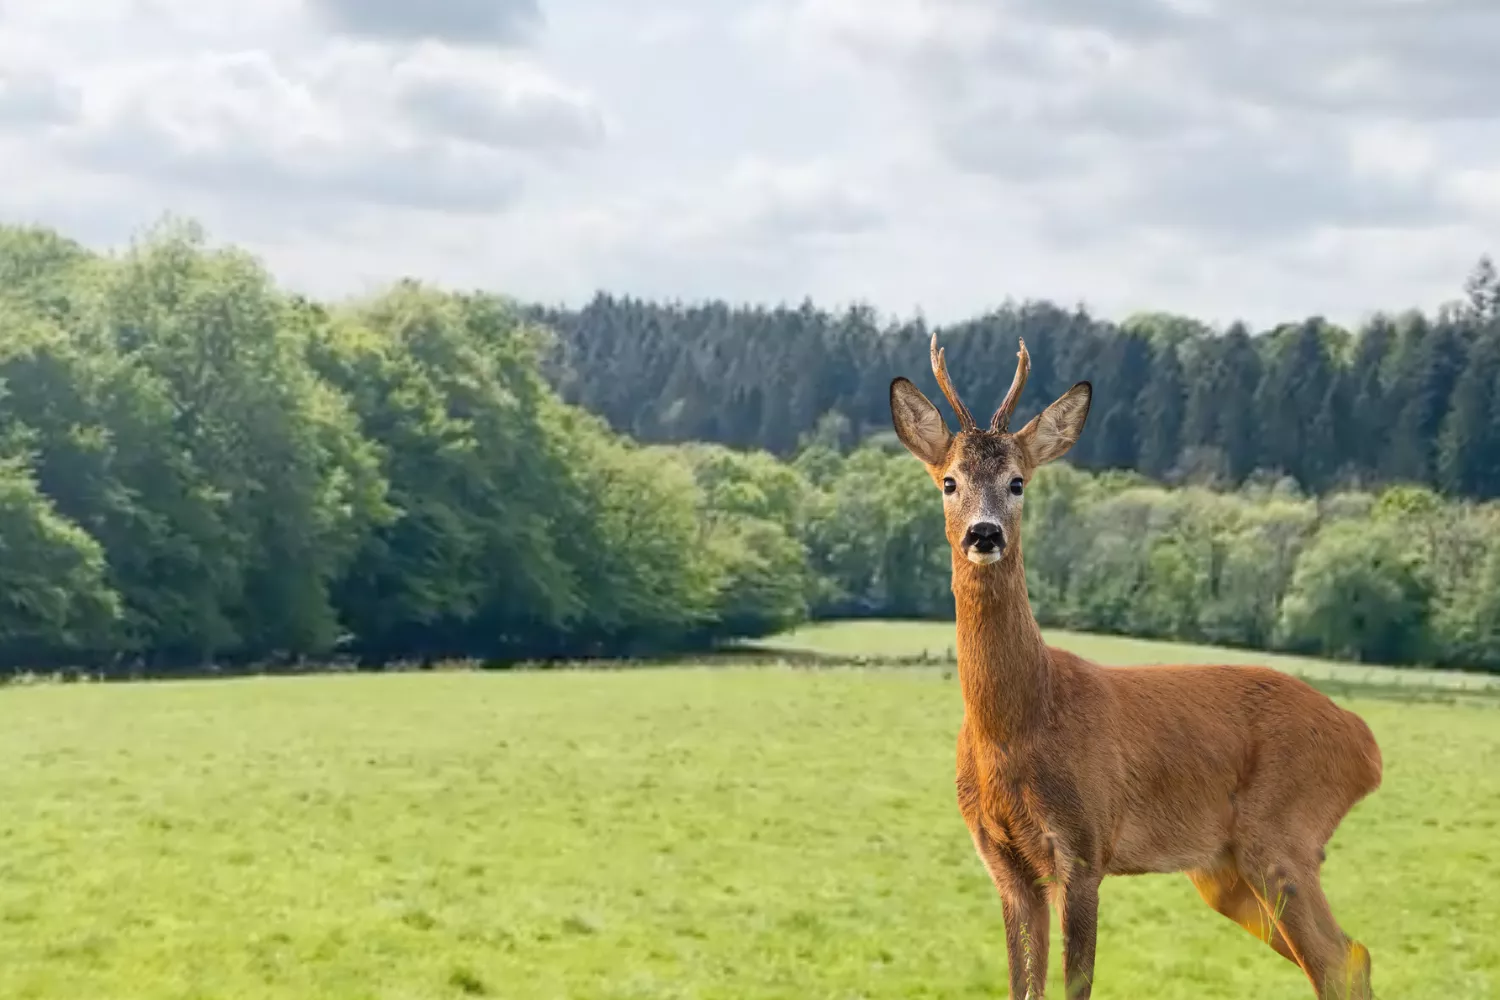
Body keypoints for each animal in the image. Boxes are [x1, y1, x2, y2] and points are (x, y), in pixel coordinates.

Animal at [887, 335, 1383, 999]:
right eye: (948, 481)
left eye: (1018, 482)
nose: (984, 533)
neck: (1018, 727)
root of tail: (1366, 744)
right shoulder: (1004, 863)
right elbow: (1023, 987)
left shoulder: (1085, 848)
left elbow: (1076, 985)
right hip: (1224, 869)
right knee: (1350, 956)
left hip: (1284, 833)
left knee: (1337, 960)